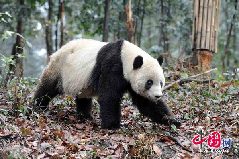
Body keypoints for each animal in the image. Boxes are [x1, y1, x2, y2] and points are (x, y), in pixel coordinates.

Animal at [32, 38, 180, 129]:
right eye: (149, 82)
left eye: (161, 83)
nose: (157, 96)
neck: (126, 56)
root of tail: (57, 51)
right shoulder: (112, 66)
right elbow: (109, 96)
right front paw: (112, 125)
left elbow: (146, 103)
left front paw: (172, 120)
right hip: (59, 68)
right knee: (47, 89)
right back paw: (37, 107)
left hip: (81, 80)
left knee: (83, 98)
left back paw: (85, 116)